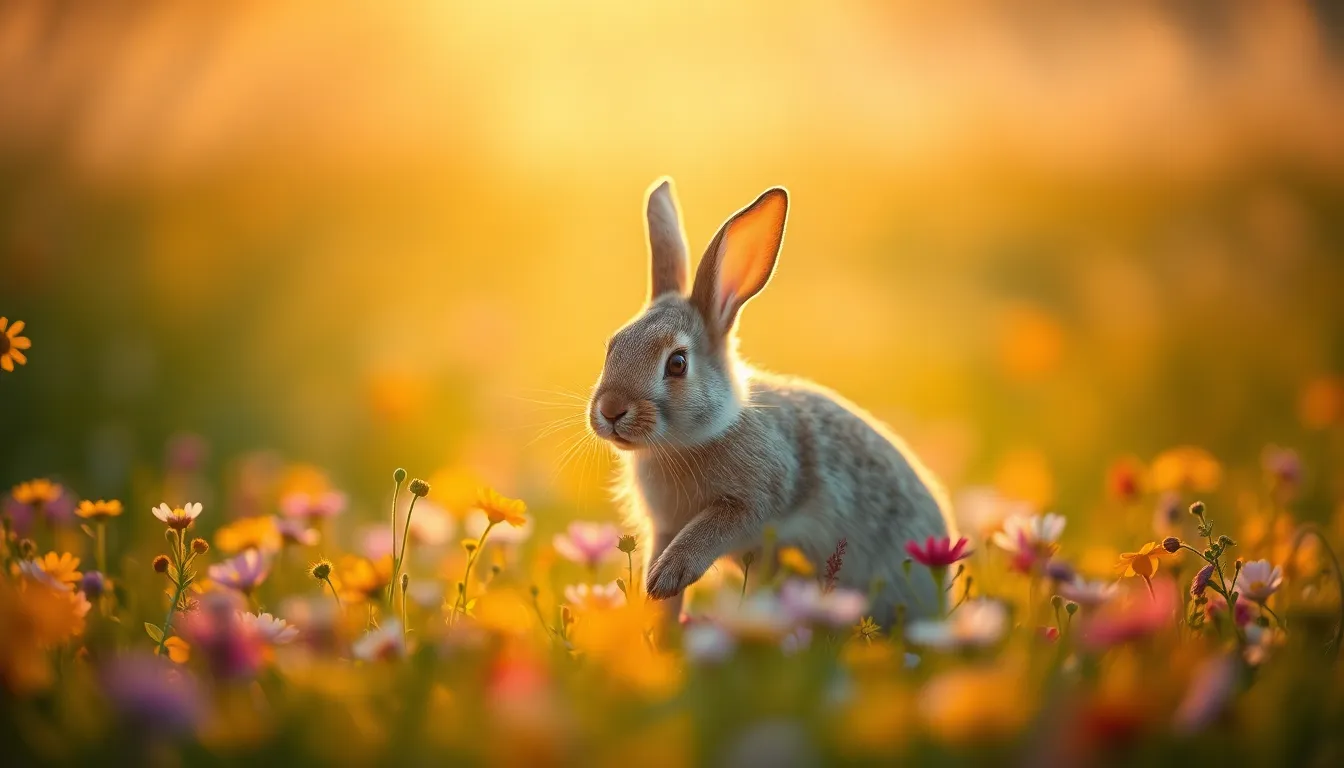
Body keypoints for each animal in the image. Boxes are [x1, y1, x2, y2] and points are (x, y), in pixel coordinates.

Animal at [587, 178, 956, 626]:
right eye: (612, 346)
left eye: (676, 363)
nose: (610, 411)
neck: (687, 442)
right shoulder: (664, 527)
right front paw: (658, 617)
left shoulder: (758, 499)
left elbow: (714, 528)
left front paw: (667, 577)